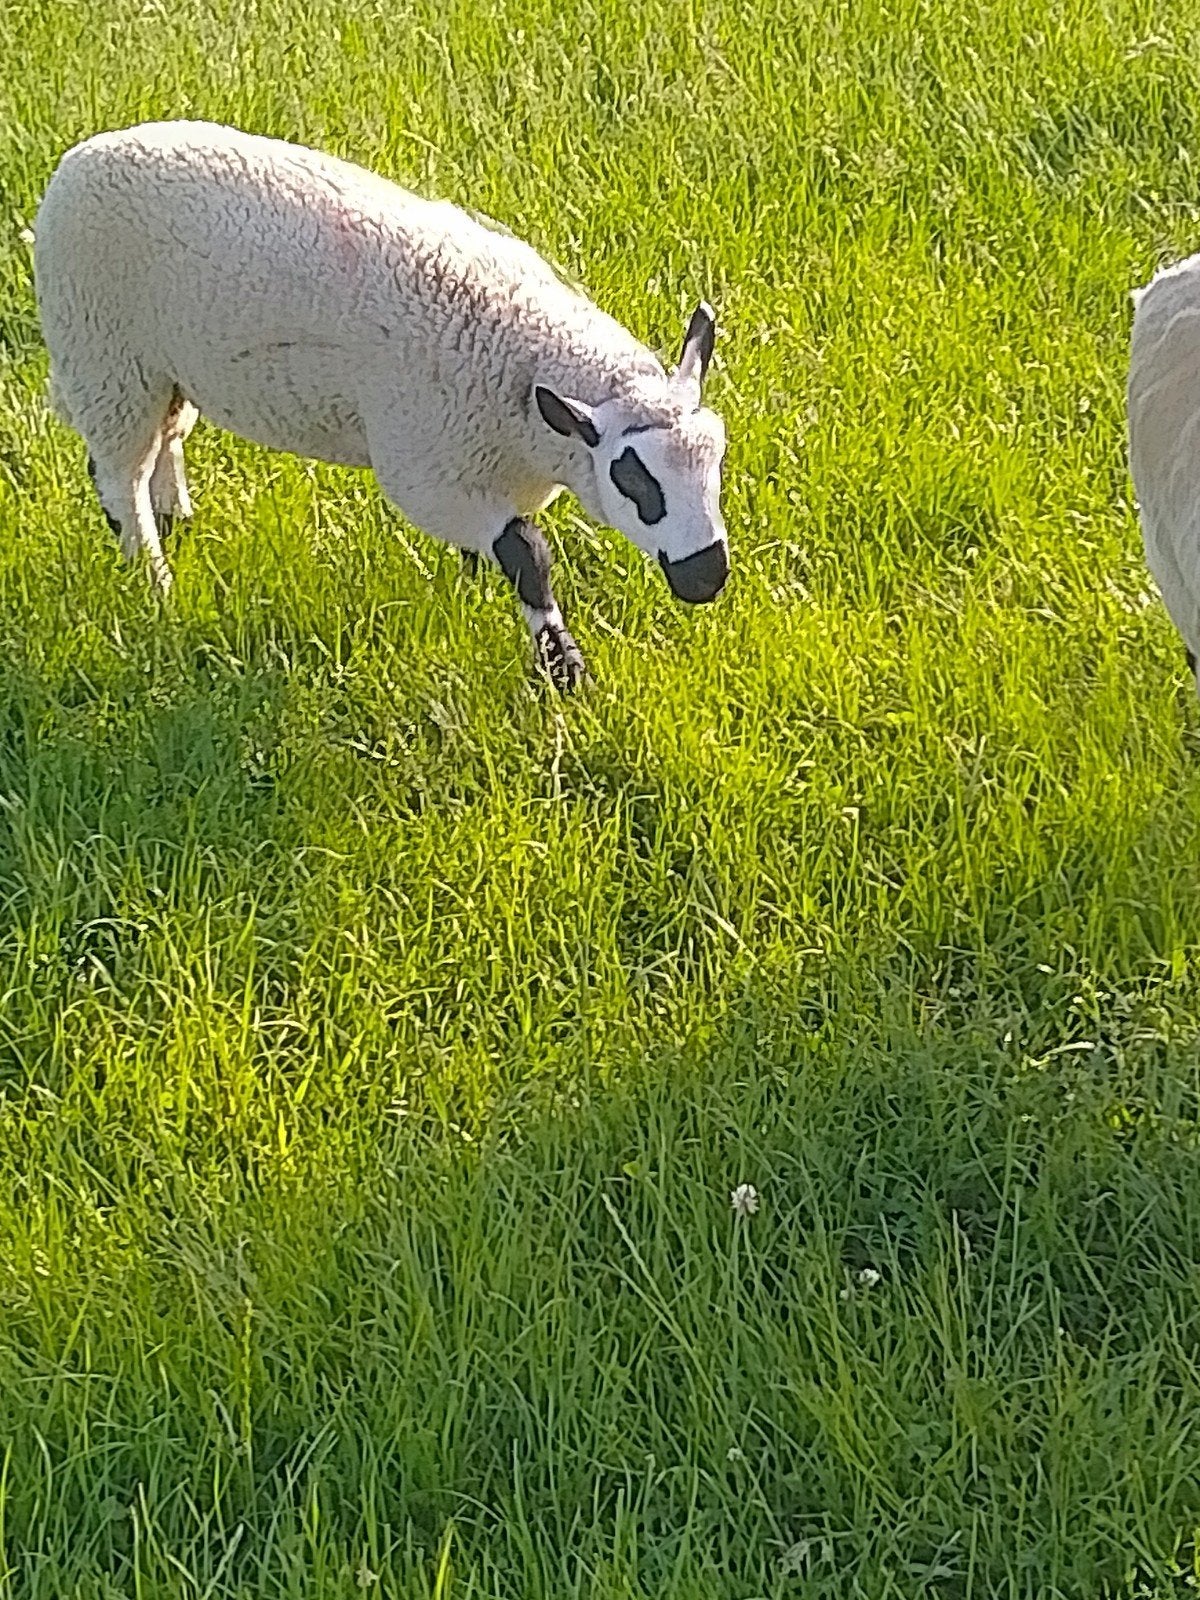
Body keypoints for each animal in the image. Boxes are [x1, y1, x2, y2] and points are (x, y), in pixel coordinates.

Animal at [33, 120, 730, 690]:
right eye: (634, 480)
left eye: (716, 462)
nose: (708, 577)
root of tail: (78, 159)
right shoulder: (425, 470)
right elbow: (527, 556)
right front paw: (566, 672)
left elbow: (494, 553)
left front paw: (473, 595)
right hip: (103, 353)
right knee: (119, 476)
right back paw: (155, 582)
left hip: (164, 368)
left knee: (164, 445)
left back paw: (176, 520)